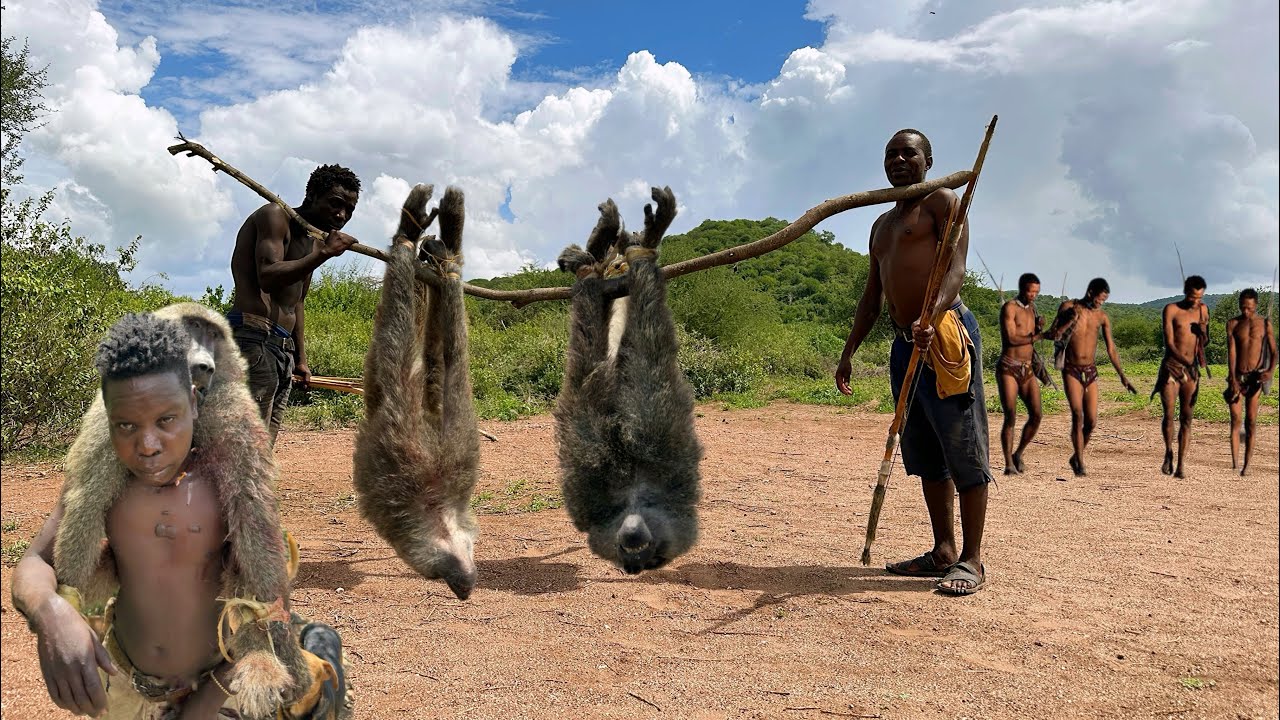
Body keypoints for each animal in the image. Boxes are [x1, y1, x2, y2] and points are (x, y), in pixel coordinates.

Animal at [352, 184, 481, 601]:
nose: (464, 585)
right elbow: (443, 358)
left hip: (403, 421)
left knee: (396, 349)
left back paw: (409, 237)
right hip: (453, 428)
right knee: (449, 356)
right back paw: (445, 249)